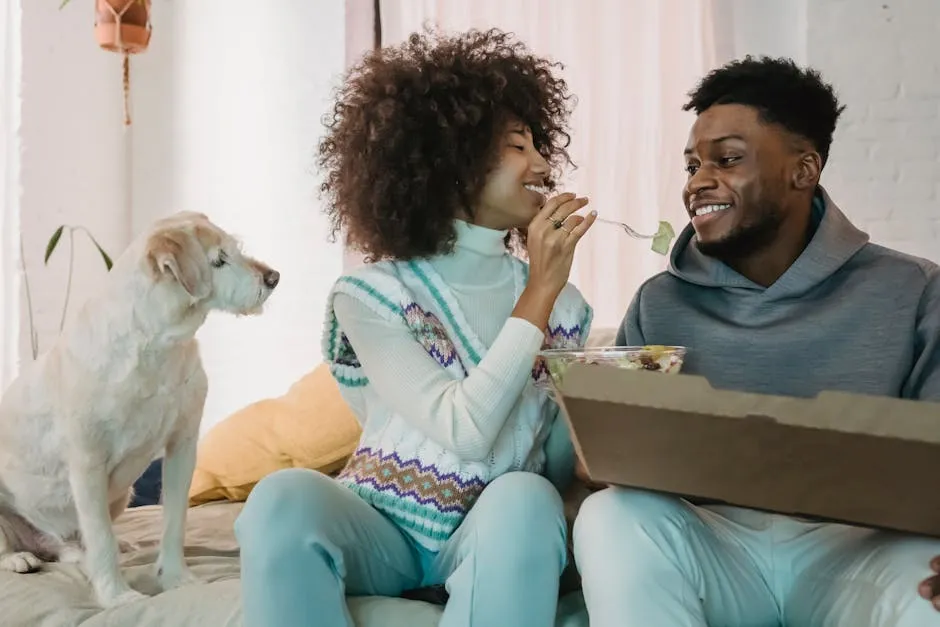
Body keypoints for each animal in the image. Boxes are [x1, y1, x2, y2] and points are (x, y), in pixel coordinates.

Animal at [0, 211, 278, 608]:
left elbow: (174, 521)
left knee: (68, 544)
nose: (273, 277)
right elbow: (101, 536)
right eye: (218, 261)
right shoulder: (87, 463)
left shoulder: (183, 447)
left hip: (121, 494)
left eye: (235, 249)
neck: (157, 344)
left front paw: (176, 578)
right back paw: (19, 557)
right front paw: (116, 596)